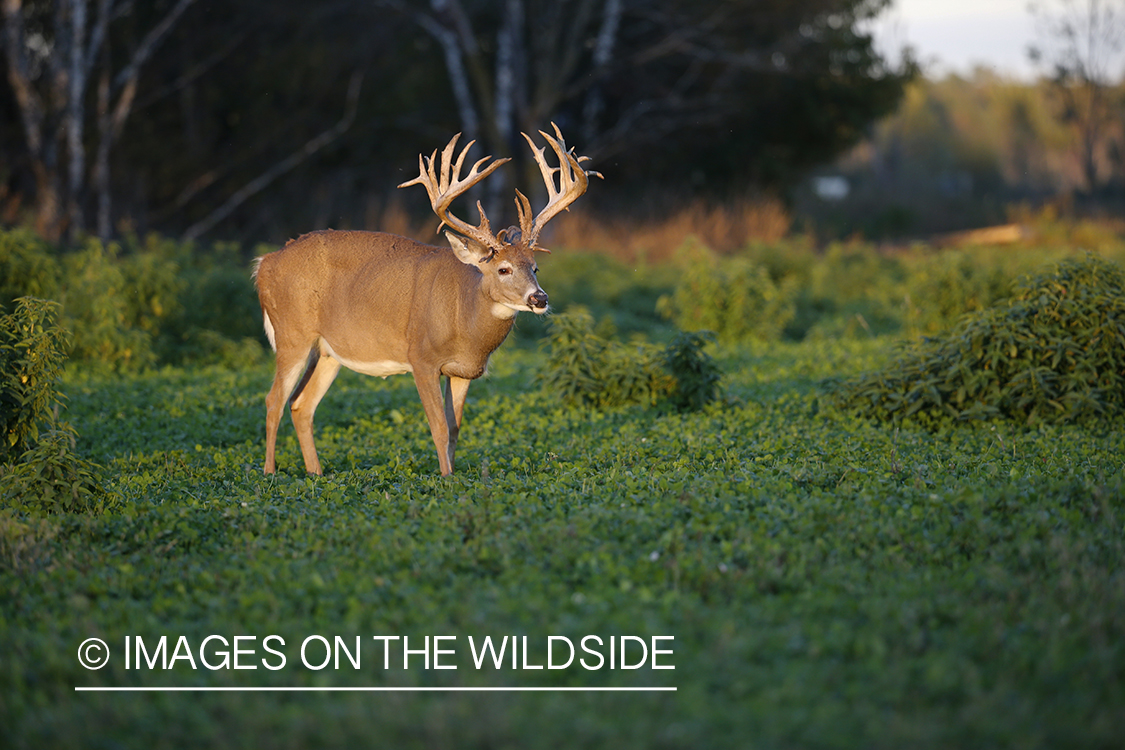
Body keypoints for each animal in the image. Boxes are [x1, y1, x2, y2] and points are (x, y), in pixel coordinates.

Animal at [252, 123, 603, 474]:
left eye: (535, 267)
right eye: (503, 269)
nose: (539, 299)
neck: (464, 319)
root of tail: (264, 263)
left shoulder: (463, 371)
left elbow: (455, 429)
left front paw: (453, 474)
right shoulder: (421, 358)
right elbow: (438, 427)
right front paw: (446, 478)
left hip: (327, 352)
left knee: (301, 404)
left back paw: (316, 473)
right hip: (292, 334)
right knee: (273, 400)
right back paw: (270, 473)